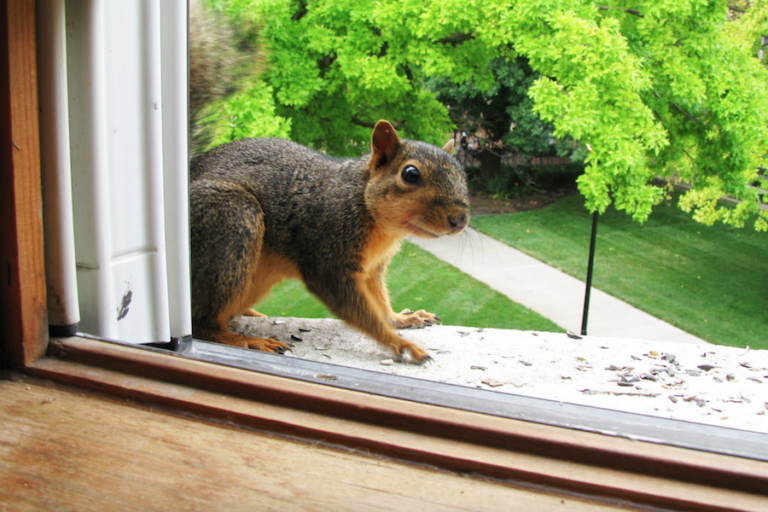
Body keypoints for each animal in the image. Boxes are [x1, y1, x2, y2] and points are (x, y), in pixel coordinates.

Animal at [189, 121, 472, 364]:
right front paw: (400, 344)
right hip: (232, 219)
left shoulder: (373, 268)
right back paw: (246, 340)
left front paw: (400, 318)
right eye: (410, 174)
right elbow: (357, 309)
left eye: (462, 173)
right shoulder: (328, 257)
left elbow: (378, 301)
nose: (460, 219)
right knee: (203, 324)